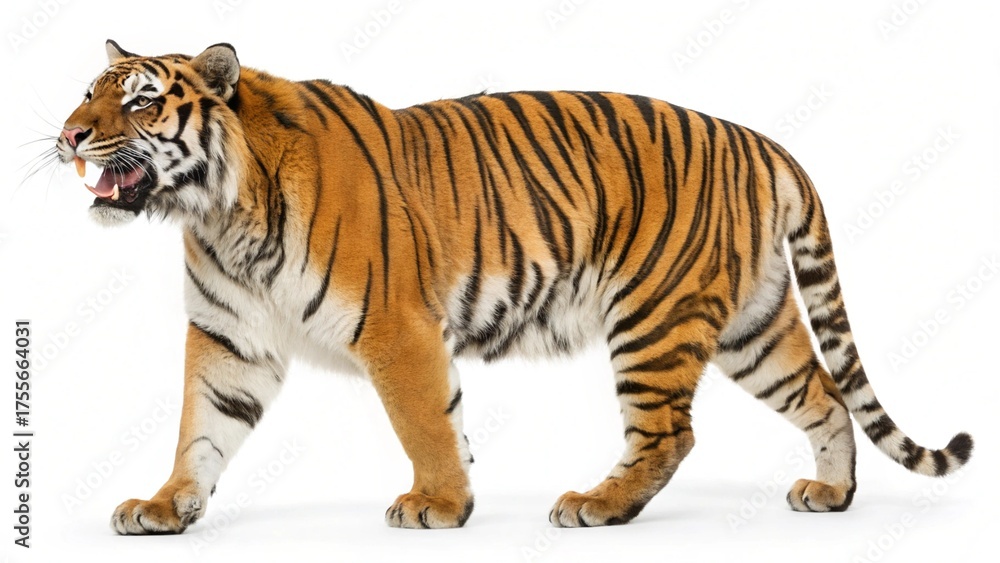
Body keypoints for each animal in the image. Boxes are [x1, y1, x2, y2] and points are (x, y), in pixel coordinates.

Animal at [56, 40, 973, 534]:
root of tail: (760, 140)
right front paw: (166, 506)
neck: (218, 212)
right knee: (824, 391)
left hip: (654, 315)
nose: (67, 136)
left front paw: (438, 504)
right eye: (87, 93)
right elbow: (201, 429)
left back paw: (597, 505)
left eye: (138, 103)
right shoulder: (230, 338)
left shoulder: (395, 325)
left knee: (670, 433)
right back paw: (832, 493)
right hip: (754, 323)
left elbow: (425, 421)